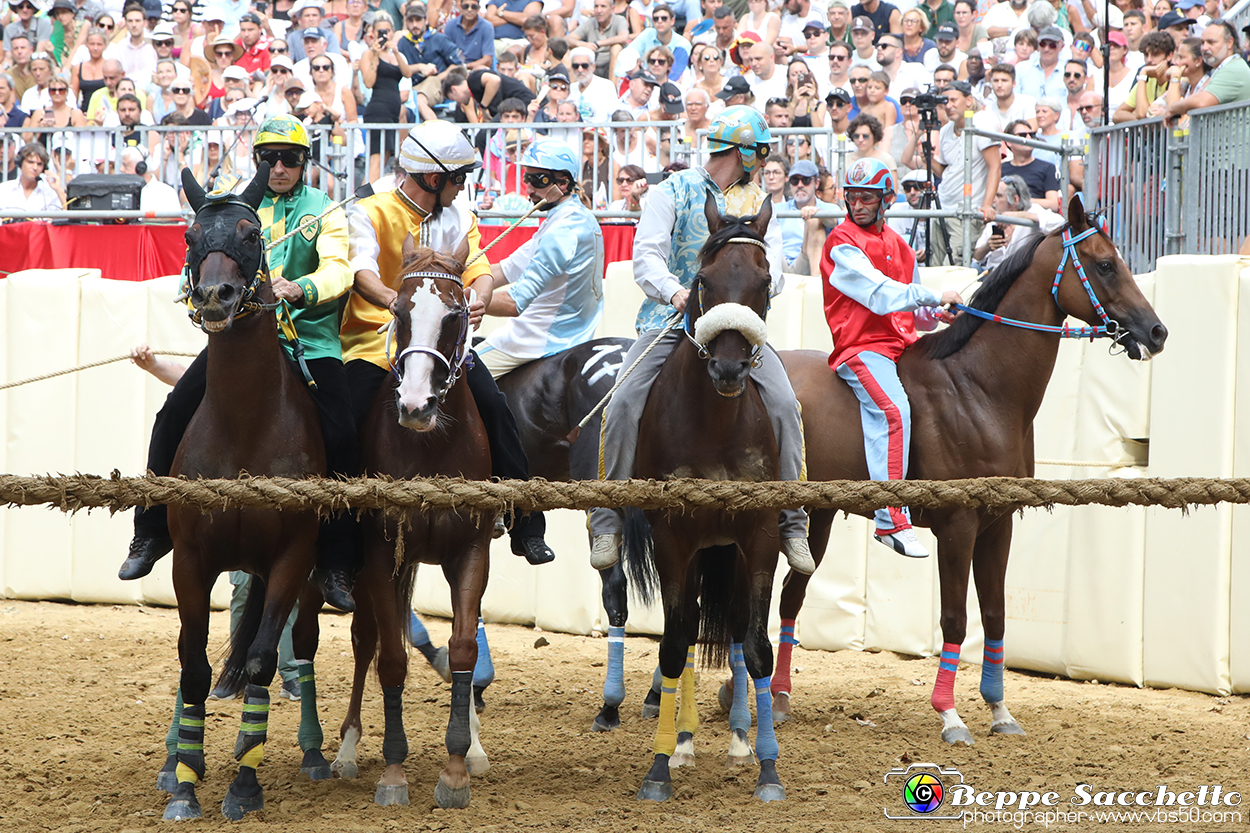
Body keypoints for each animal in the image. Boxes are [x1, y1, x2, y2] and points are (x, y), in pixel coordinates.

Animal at [163, 165, 335, 820]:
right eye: (190, 236)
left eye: (250, 233)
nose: (216, 297)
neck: (245, 425)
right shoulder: (190, 560)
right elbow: (192, 663)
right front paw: (185, 781)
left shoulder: (291, 557)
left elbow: (263, 658)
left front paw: (244, 784)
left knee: (296, 646)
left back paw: (308, 752)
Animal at [327, 240, 492, 805]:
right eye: (398, 312)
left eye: (456, 315)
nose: (416, 404)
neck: (430, 447)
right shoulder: (380, 558)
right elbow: (391, 659)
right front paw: (394, 772)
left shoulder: (472, 553)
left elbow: (463, 648)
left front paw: (457, 768)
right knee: (366, 641)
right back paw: (347, 749)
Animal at [620, 191, 785, 800]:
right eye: (704, 280)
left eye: (765, 280)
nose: (730, 367)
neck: (714, 425)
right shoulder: (673, 535)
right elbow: (674, 642)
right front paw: (660, 765)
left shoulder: (758, 535)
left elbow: (756, 644)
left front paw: (768, 769)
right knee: (689, 629)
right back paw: (686, 742)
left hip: (726, 550)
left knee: (732, 624)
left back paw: (737, 739)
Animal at [770, 197, 1170, 740]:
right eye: (1105, 264)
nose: (1157, 331)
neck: (979, 388)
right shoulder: (958, 527)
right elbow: (957, 619)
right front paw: (950, 714)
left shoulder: (999, 524)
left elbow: (996, 616)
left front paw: (1000, 711)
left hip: (819, 517)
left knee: (789, 596)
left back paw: (775, 696)